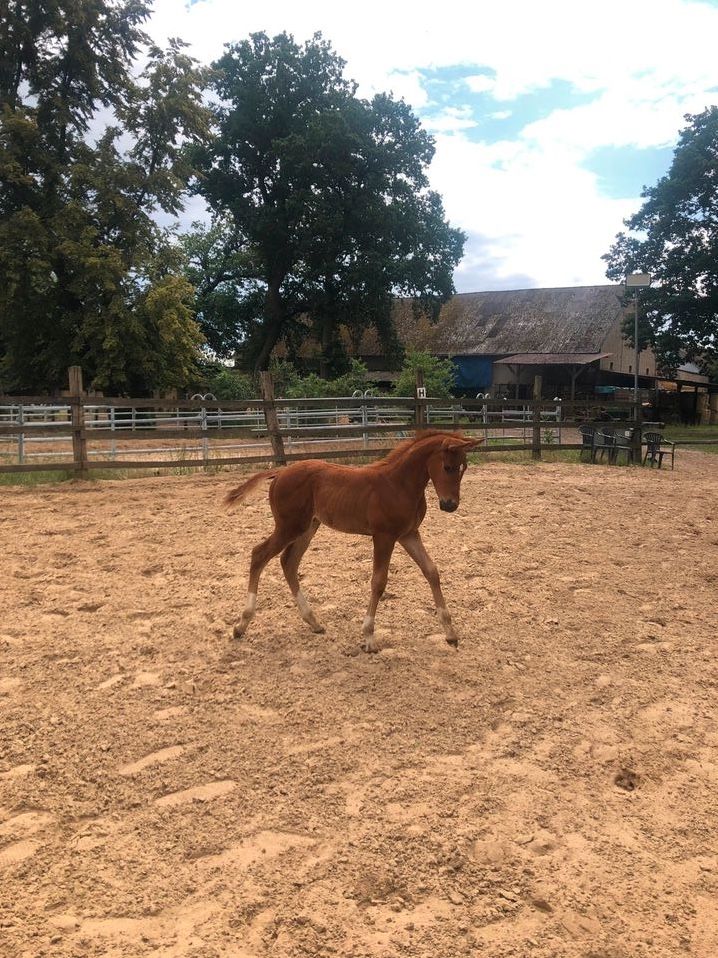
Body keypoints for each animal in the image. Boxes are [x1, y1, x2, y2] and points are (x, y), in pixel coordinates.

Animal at [226, 434, 484, 652]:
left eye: (464, 468)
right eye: (447, 467)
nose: (450, 505)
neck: (398, 485)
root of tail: (280, 472)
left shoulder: (409, 534)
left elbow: (431, 571)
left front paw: (451, 633)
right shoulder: (384, 536)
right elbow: (379, 582)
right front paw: (369, 637)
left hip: (308, 526)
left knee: (289, 561)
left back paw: (314, 622)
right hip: (289, 527)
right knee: (259, 554)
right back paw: (241, 625)